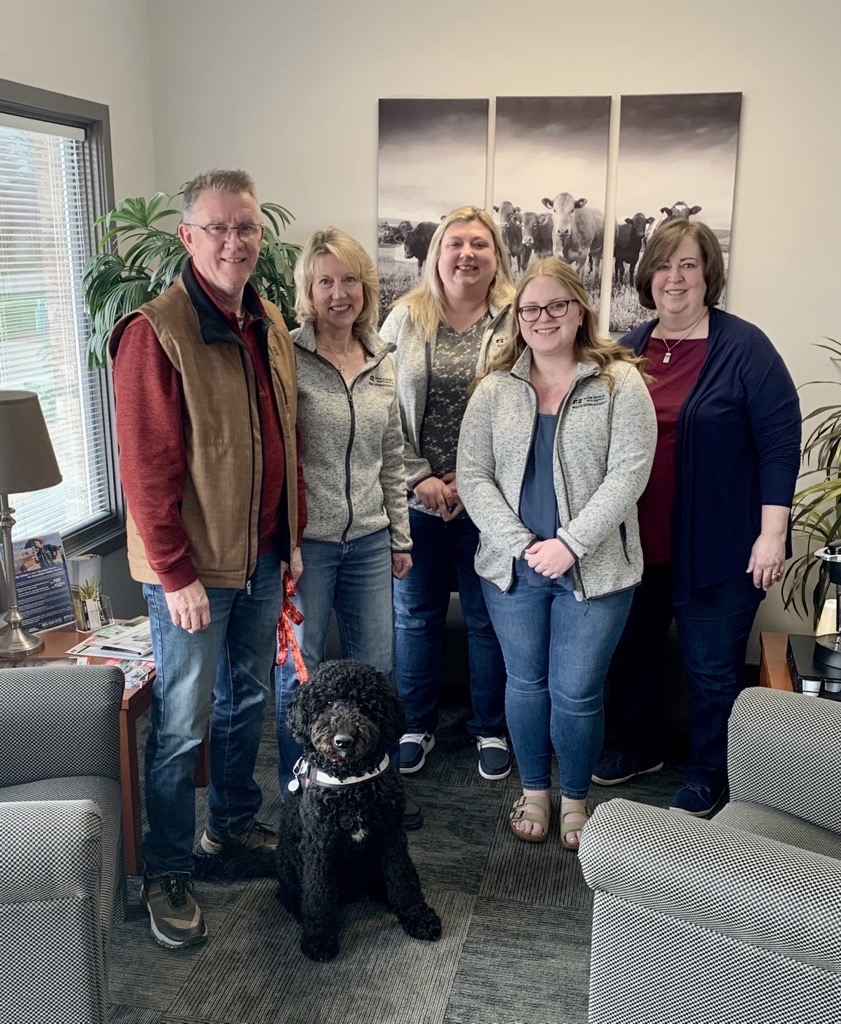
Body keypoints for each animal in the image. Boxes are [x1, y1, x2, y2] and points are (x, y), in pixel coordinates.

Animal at [276, 659, 446, 962]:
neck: (351, 784)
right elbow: (317, 895)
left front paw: (417, 916)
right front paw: (318, 937)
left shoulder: (391, 836)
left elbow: (404, 879)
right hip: (291, 864)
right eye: (327, 702)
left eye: (365, 704)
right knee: (292, 894)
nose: (343, 740)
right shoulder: (319, 847)